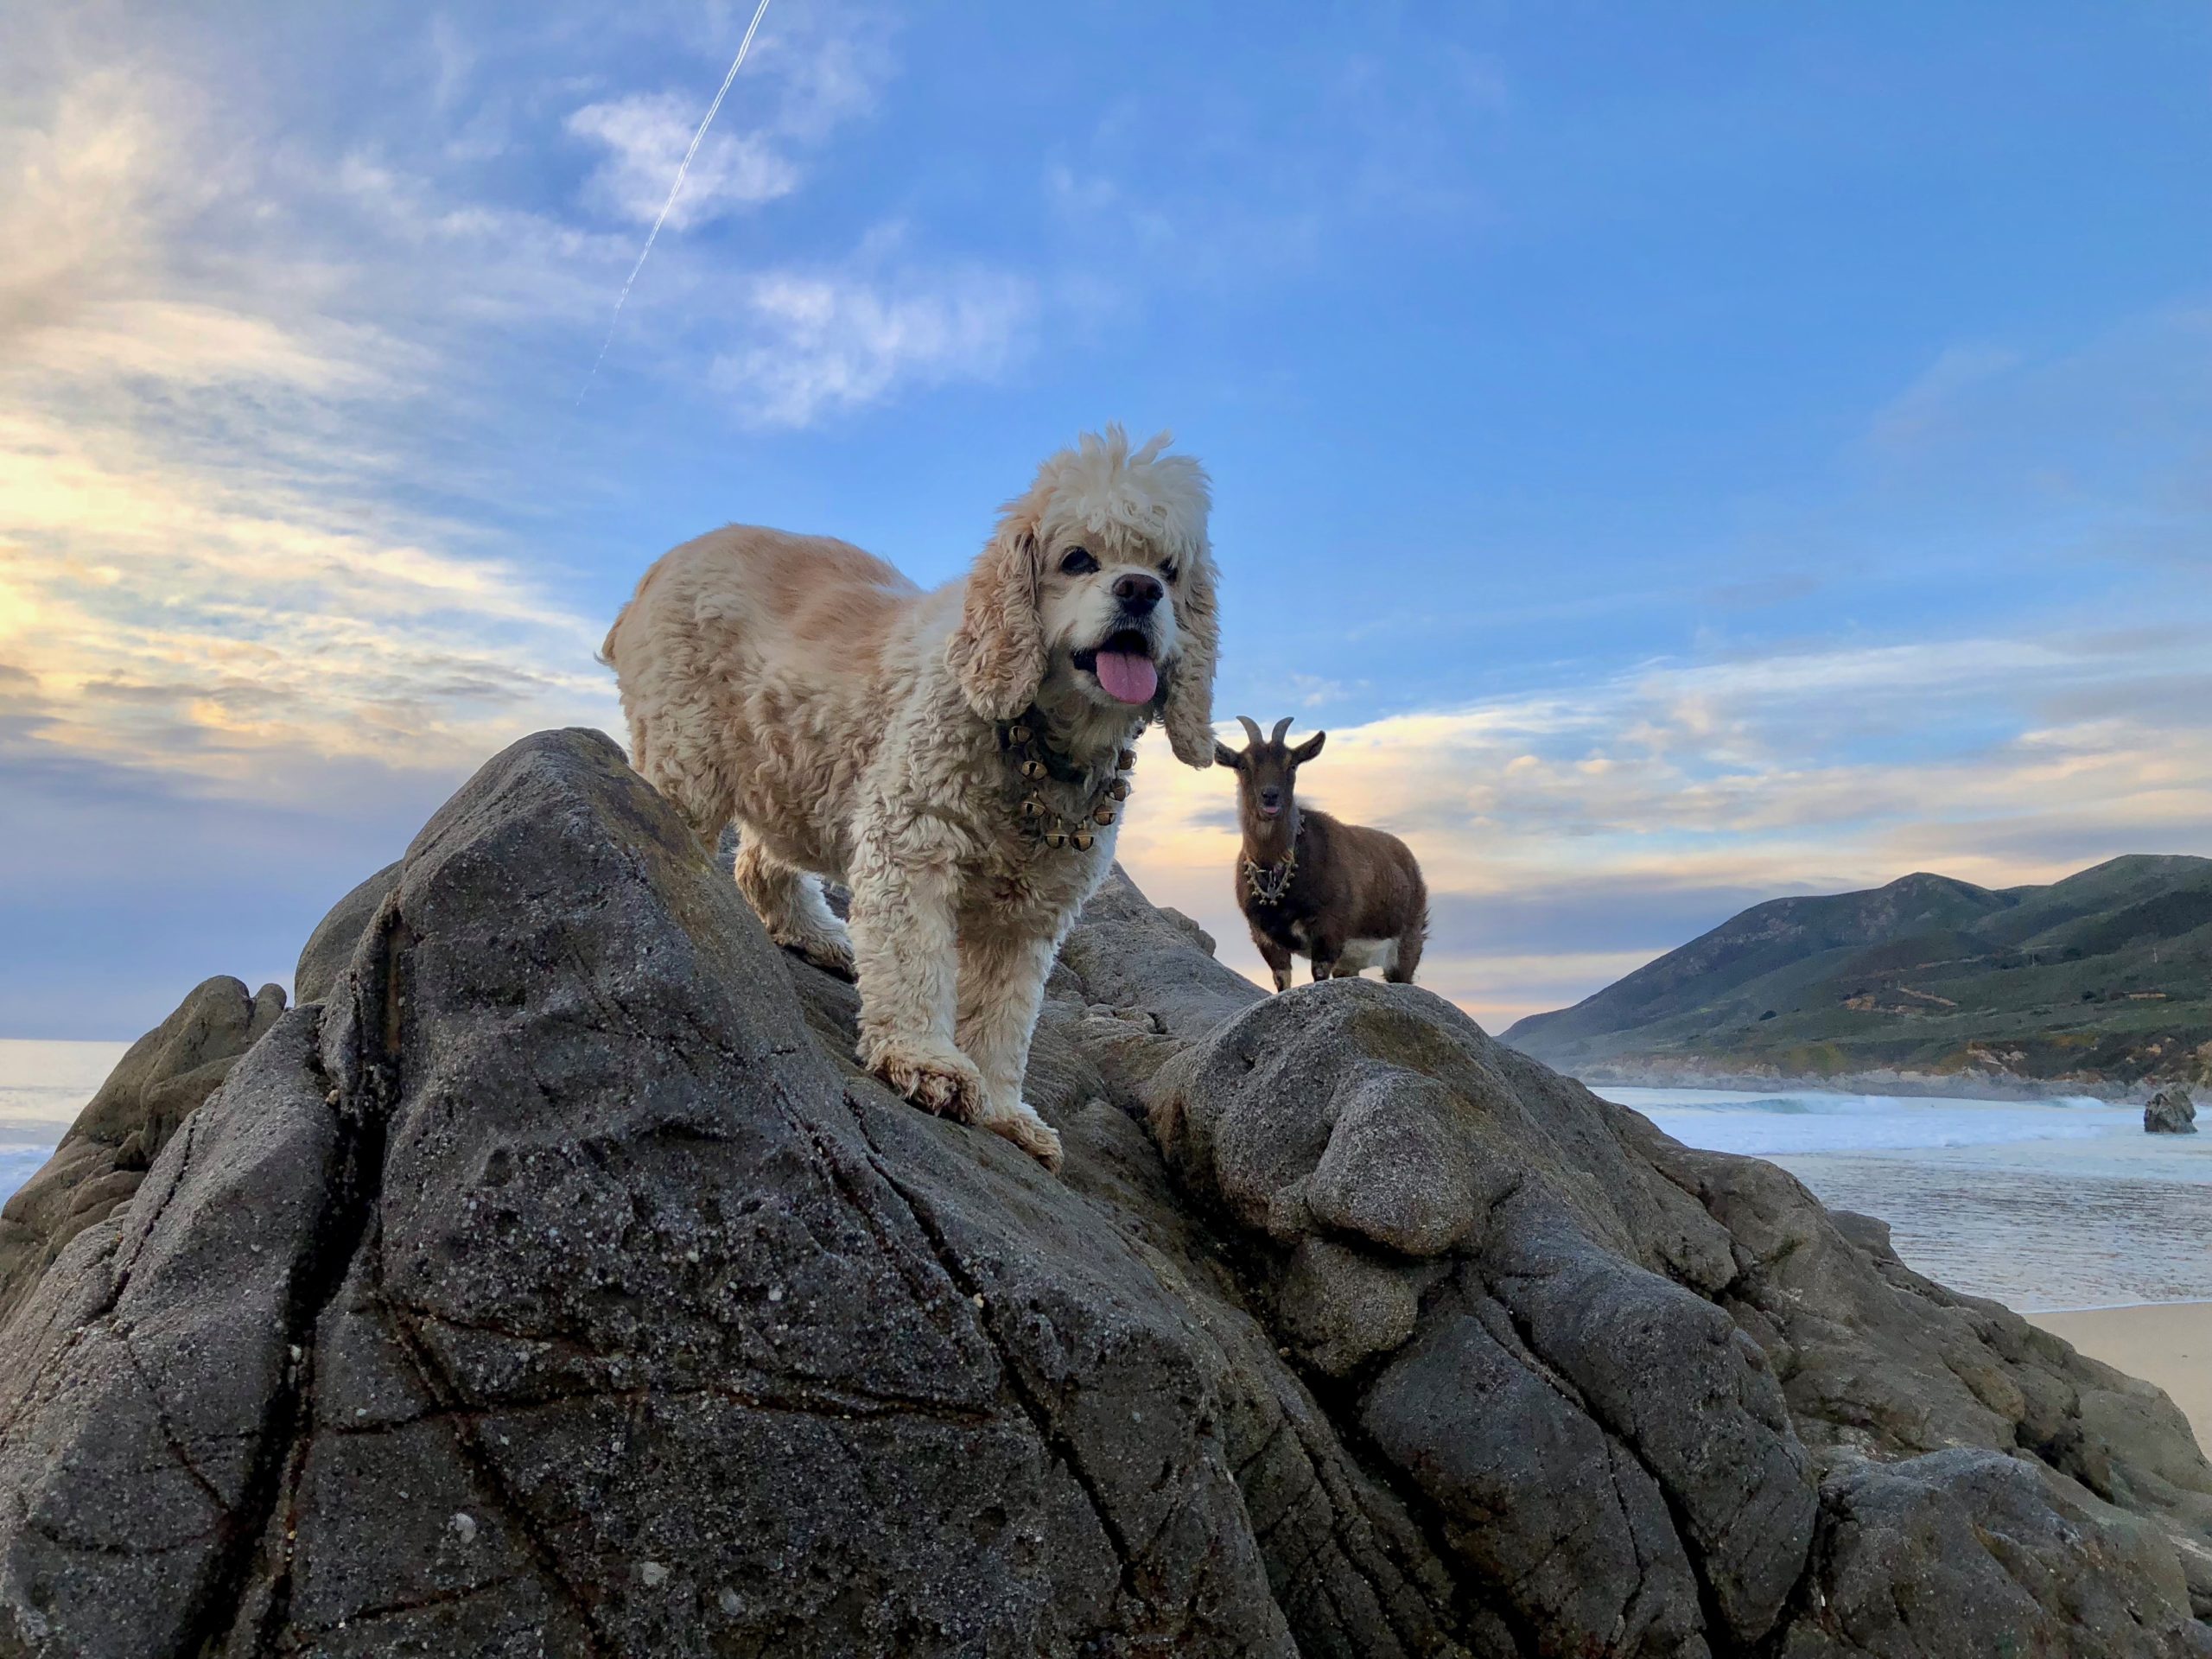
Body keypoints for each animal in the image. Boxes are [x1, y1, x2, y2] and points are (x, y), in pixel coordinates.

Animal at [606, 435, 1221, 1176]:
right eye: (1077, 560)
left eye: (1169, 570)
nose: (1139, 590)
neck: (1042, 745)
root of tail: (661, 564)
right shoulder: (912, 837)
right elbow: (915, 958)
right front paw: (926, 1062)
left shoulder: (1034, 913)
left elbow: (1007, 1014)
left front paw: (1004, 1109)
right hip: (689, 749)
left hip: (791, 762)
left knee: (761, 864)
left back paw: (821, 935)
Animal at [1211, 716, 1433, 986]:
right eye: (1243, 765)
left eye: (1292, 764)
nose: (1270, 796)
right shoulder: (1264, 936)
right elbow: (1282, 982)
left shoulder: (1329, 931)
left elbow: (1318, 975)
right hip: (1351, 961)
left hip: (1408, 940)